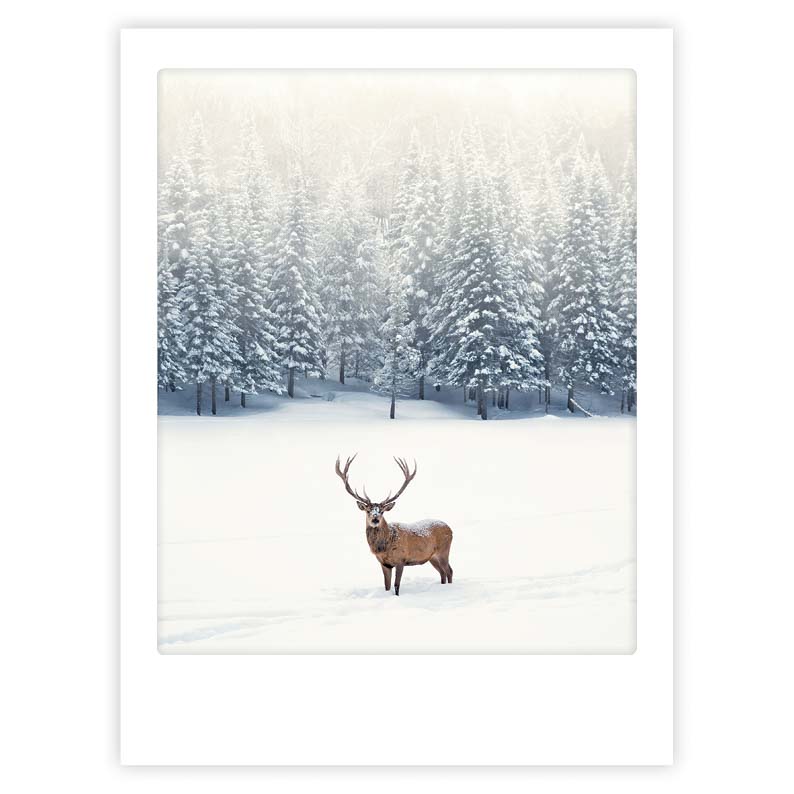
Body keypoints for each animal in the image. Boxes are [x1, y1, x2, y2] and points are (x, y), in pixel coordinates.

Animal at [334, 454, 453, 596]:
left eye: (382, 511)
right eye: (368, 510)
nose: (375, 519)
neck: (384, 547)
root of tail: (450, 529)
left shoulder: (401, 560)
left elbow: (396, 585)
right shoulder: (384, 564)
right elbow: (387, 586)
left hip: (444, 550)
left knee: (449, 571)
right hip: (432, 557)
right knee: (442, 572)